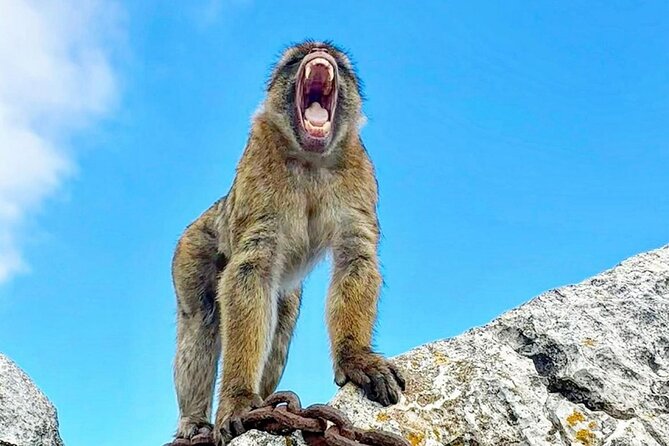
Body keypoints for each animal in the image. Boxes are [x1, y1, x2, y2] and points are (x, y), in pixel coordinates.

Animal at [168, 40, 405, 446]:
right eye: (297, 58)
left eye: (338, 62)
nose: (320, 53)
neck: (310, 158)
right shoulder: (258, 168)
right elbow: (250, 270)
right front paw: (238, 399)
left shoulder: (360, 174)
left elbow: (355, 256)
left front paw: (355, 356)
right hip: (191, 249)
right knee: (201, 321)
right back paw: (195, 422)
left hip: (285, 293)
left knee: (279, 333)